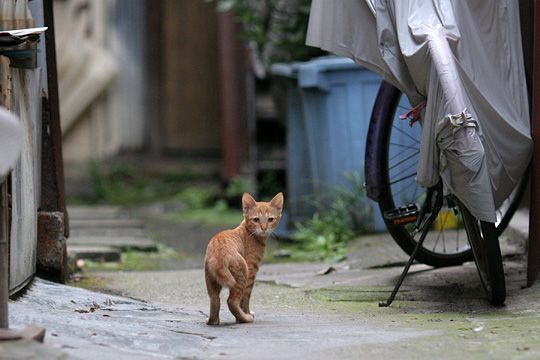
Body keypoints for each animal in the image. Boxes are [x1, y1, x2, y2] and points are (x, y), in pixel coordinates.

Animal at [205, 193, 284, 324]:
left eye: (270, 219)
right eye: (256, 219)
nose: (264, 228)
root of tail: (219, 251)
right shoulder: (251, 272)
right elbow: (246, 298)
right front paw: (247, 312)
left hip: (211, 280)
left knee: (215, 299)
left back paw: (213, 321)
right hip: (242, 274)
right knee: (231, 301)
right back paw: (244, 318)